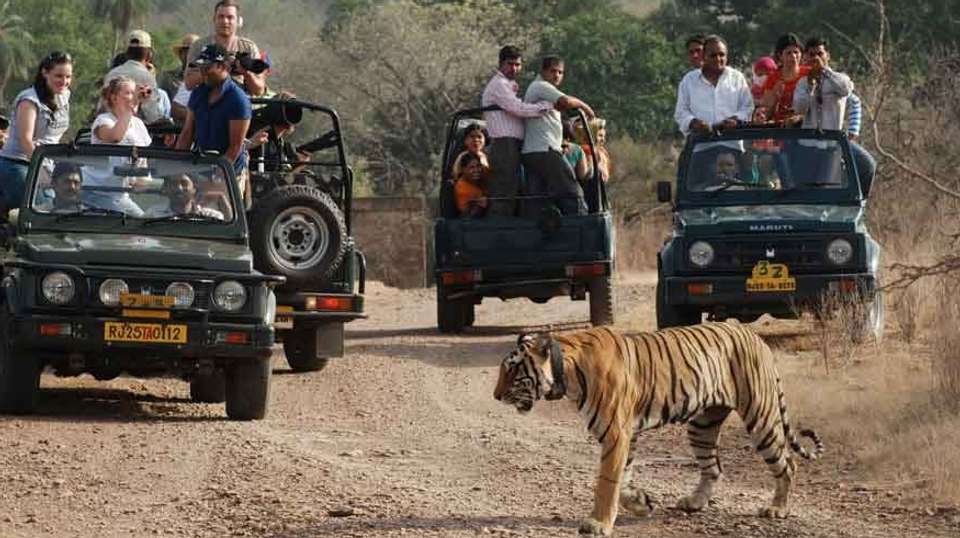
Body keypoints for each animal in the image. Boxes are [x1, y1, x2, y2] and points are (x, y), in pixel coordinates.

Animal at [493, 322, 823, 536]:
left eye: (512, 369)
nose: (495, 396)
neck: (567, 372)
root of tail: (755, 336)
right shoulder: (626, 434)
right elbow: (623, 480)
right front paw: (642, 503)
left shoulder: (616, 432)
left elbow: (607, 482)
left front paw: (598, 523)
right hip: (702, 425)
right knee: (713, 467)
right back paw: (694, 502)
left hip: (760, 416)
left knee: (787, 464)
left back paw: (777, 509)